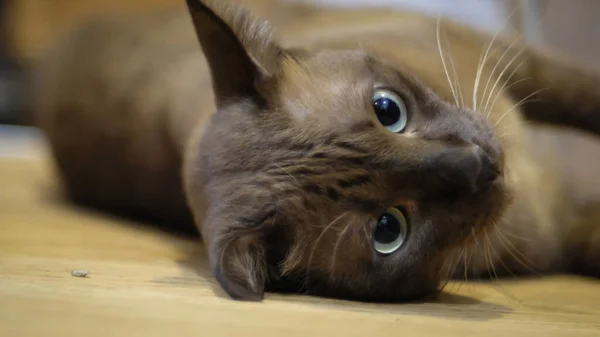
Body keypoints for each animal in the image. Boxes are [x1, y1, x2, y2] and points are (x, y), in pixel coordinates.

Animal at [30, 0, 600, 300]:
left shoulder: (524, 65)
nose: (482, 167)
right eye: (388, 229)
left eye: (388, 110)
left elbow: (583, 92)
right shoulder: (561, 222)